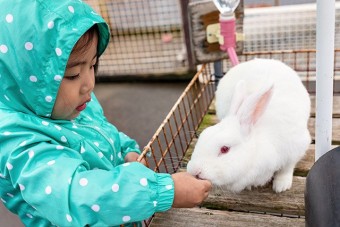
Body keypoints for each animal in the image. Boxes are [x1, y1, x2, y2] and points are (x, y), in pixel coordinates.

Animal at [187, 57, 312, 192]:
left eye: (225, 149)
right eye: (202, 136)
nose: (194, 171)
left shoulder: (295, 148)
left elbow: (287, 168)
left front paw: (281, 186)